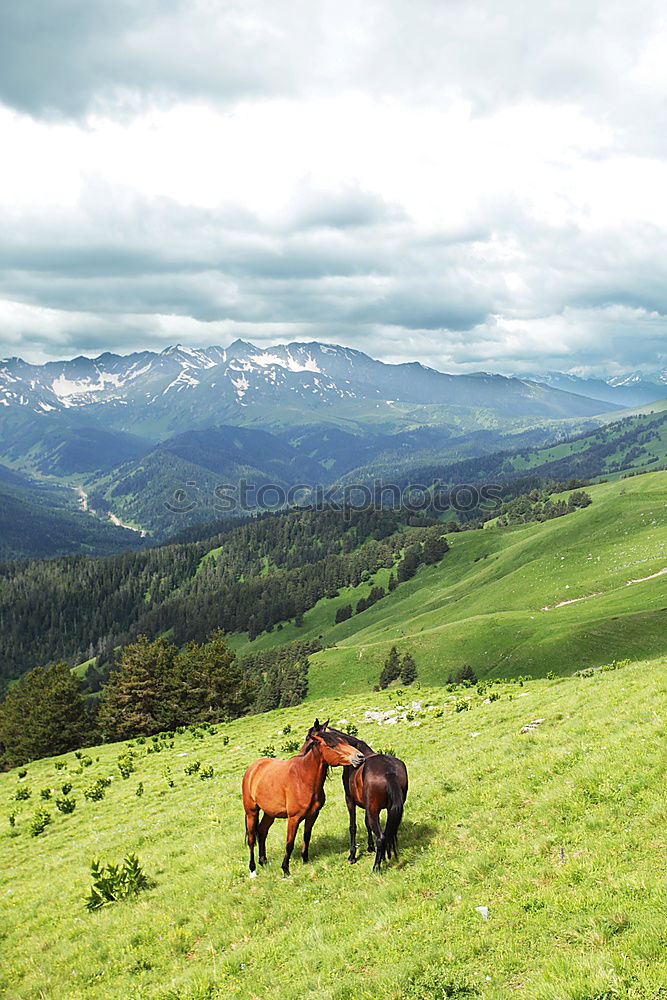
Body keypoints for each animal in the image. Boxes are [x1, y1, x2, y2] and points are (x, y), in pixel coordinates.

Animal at [243, 720, 366, 876]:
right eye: (332, 745)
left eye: (344, 741)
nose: (359, 757)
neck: (303, 778)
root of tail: (252, 768)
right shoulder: (293, 818)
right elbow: (289, 843)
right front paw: (285, 869)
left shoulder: (312, 815)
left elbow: (306, 836)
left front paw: (305, 860)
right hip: (251, 812)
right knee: (252, 838)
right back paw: (252, 868)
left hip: (270, 813)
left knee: (262, 831)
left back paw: (263, 861)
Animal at [328, 728, 410, 876]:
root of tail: (389, 771)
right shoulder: (368, 806)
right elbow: (367, 824)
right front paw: (370, 847)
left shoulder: (350, 800)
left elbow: (353, 826)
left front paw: (352, 856)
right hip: (389, 810)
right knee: (388, 833)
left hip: (373, 810)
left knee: (381, 837)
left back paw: (376, 867)